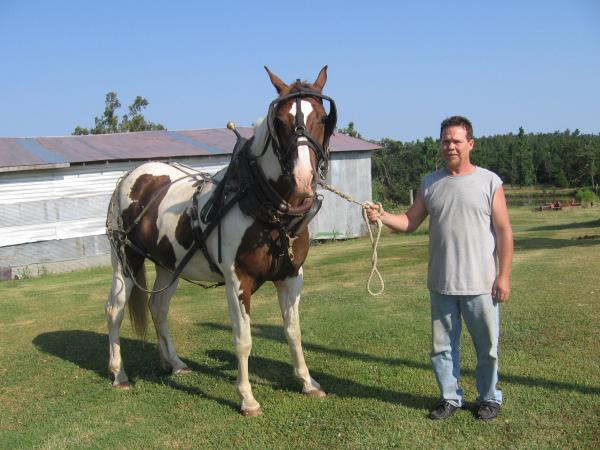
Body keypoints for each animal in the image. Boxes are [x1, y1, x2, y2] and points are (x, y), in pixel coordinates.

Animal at [103, 65, 338, 416]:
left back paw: (174, 363)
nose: (303, 180)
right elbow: (243, 340)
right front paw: (247, 398)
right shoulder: (238, 281)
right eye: (280, 122)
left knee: (158, 307)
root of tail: (130, 176)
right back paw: (119, 374)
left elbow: (293, 332)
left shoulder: (291, 277)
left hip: (169, 266)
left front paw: (307, 382)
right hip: (126, 260)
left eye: (323, 118)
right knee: (115, 310)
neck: (263, 205)